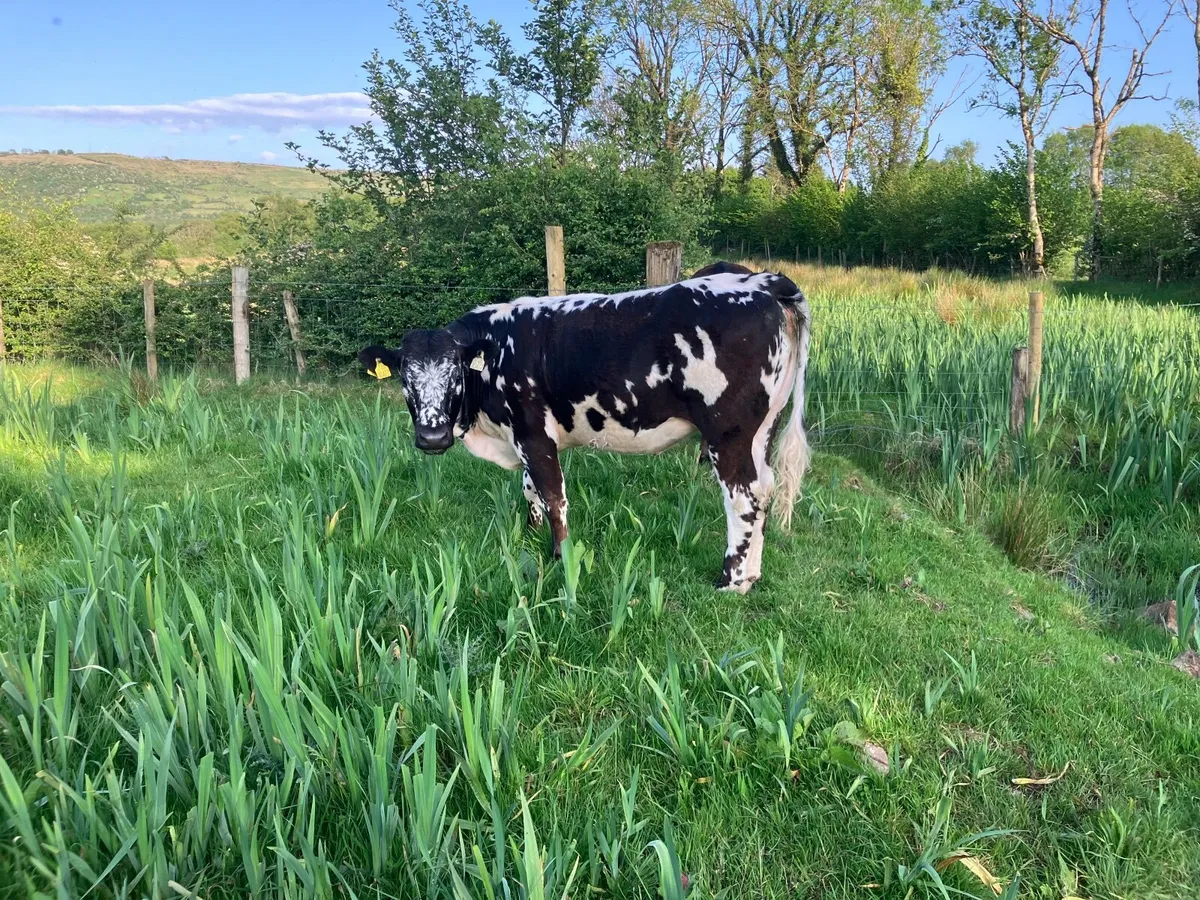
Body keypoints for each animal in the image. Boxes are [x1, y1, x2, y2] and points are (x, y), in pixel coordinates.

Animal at [359, 270, 811, 594]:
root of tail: (762, 281)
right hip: (761, 430)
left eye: (455, 372)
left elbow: (553, 497)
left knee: (744, 499)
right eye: (405, 378)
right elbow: (530, 490)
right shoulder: (526, 438)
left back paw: (730, 582)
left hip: (727, 433)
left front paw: (560, 558)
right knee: (765, 489)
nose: (432, 438)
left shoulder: (533, 433)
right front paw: (530, 534)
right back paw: (752, 575)